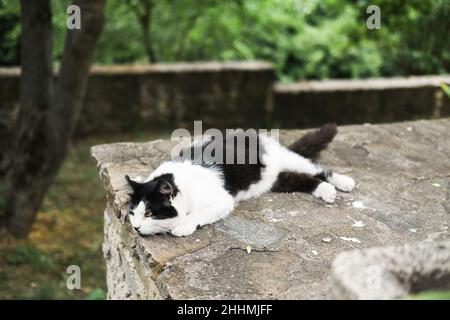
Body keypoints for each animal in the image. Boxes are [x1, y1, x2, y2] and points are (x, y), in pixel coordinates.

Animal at [125, 124, 354, 236]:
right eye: (132, 213)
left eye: (149, 213)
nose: (135, 227)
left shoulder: (223, 200)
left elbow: (197, 214)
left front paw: (182, 227)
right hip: (276, 181)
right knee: (303, 180)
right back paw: (327, 191)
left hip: (287, 158)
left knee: (318, 169)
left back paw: (344, 183)